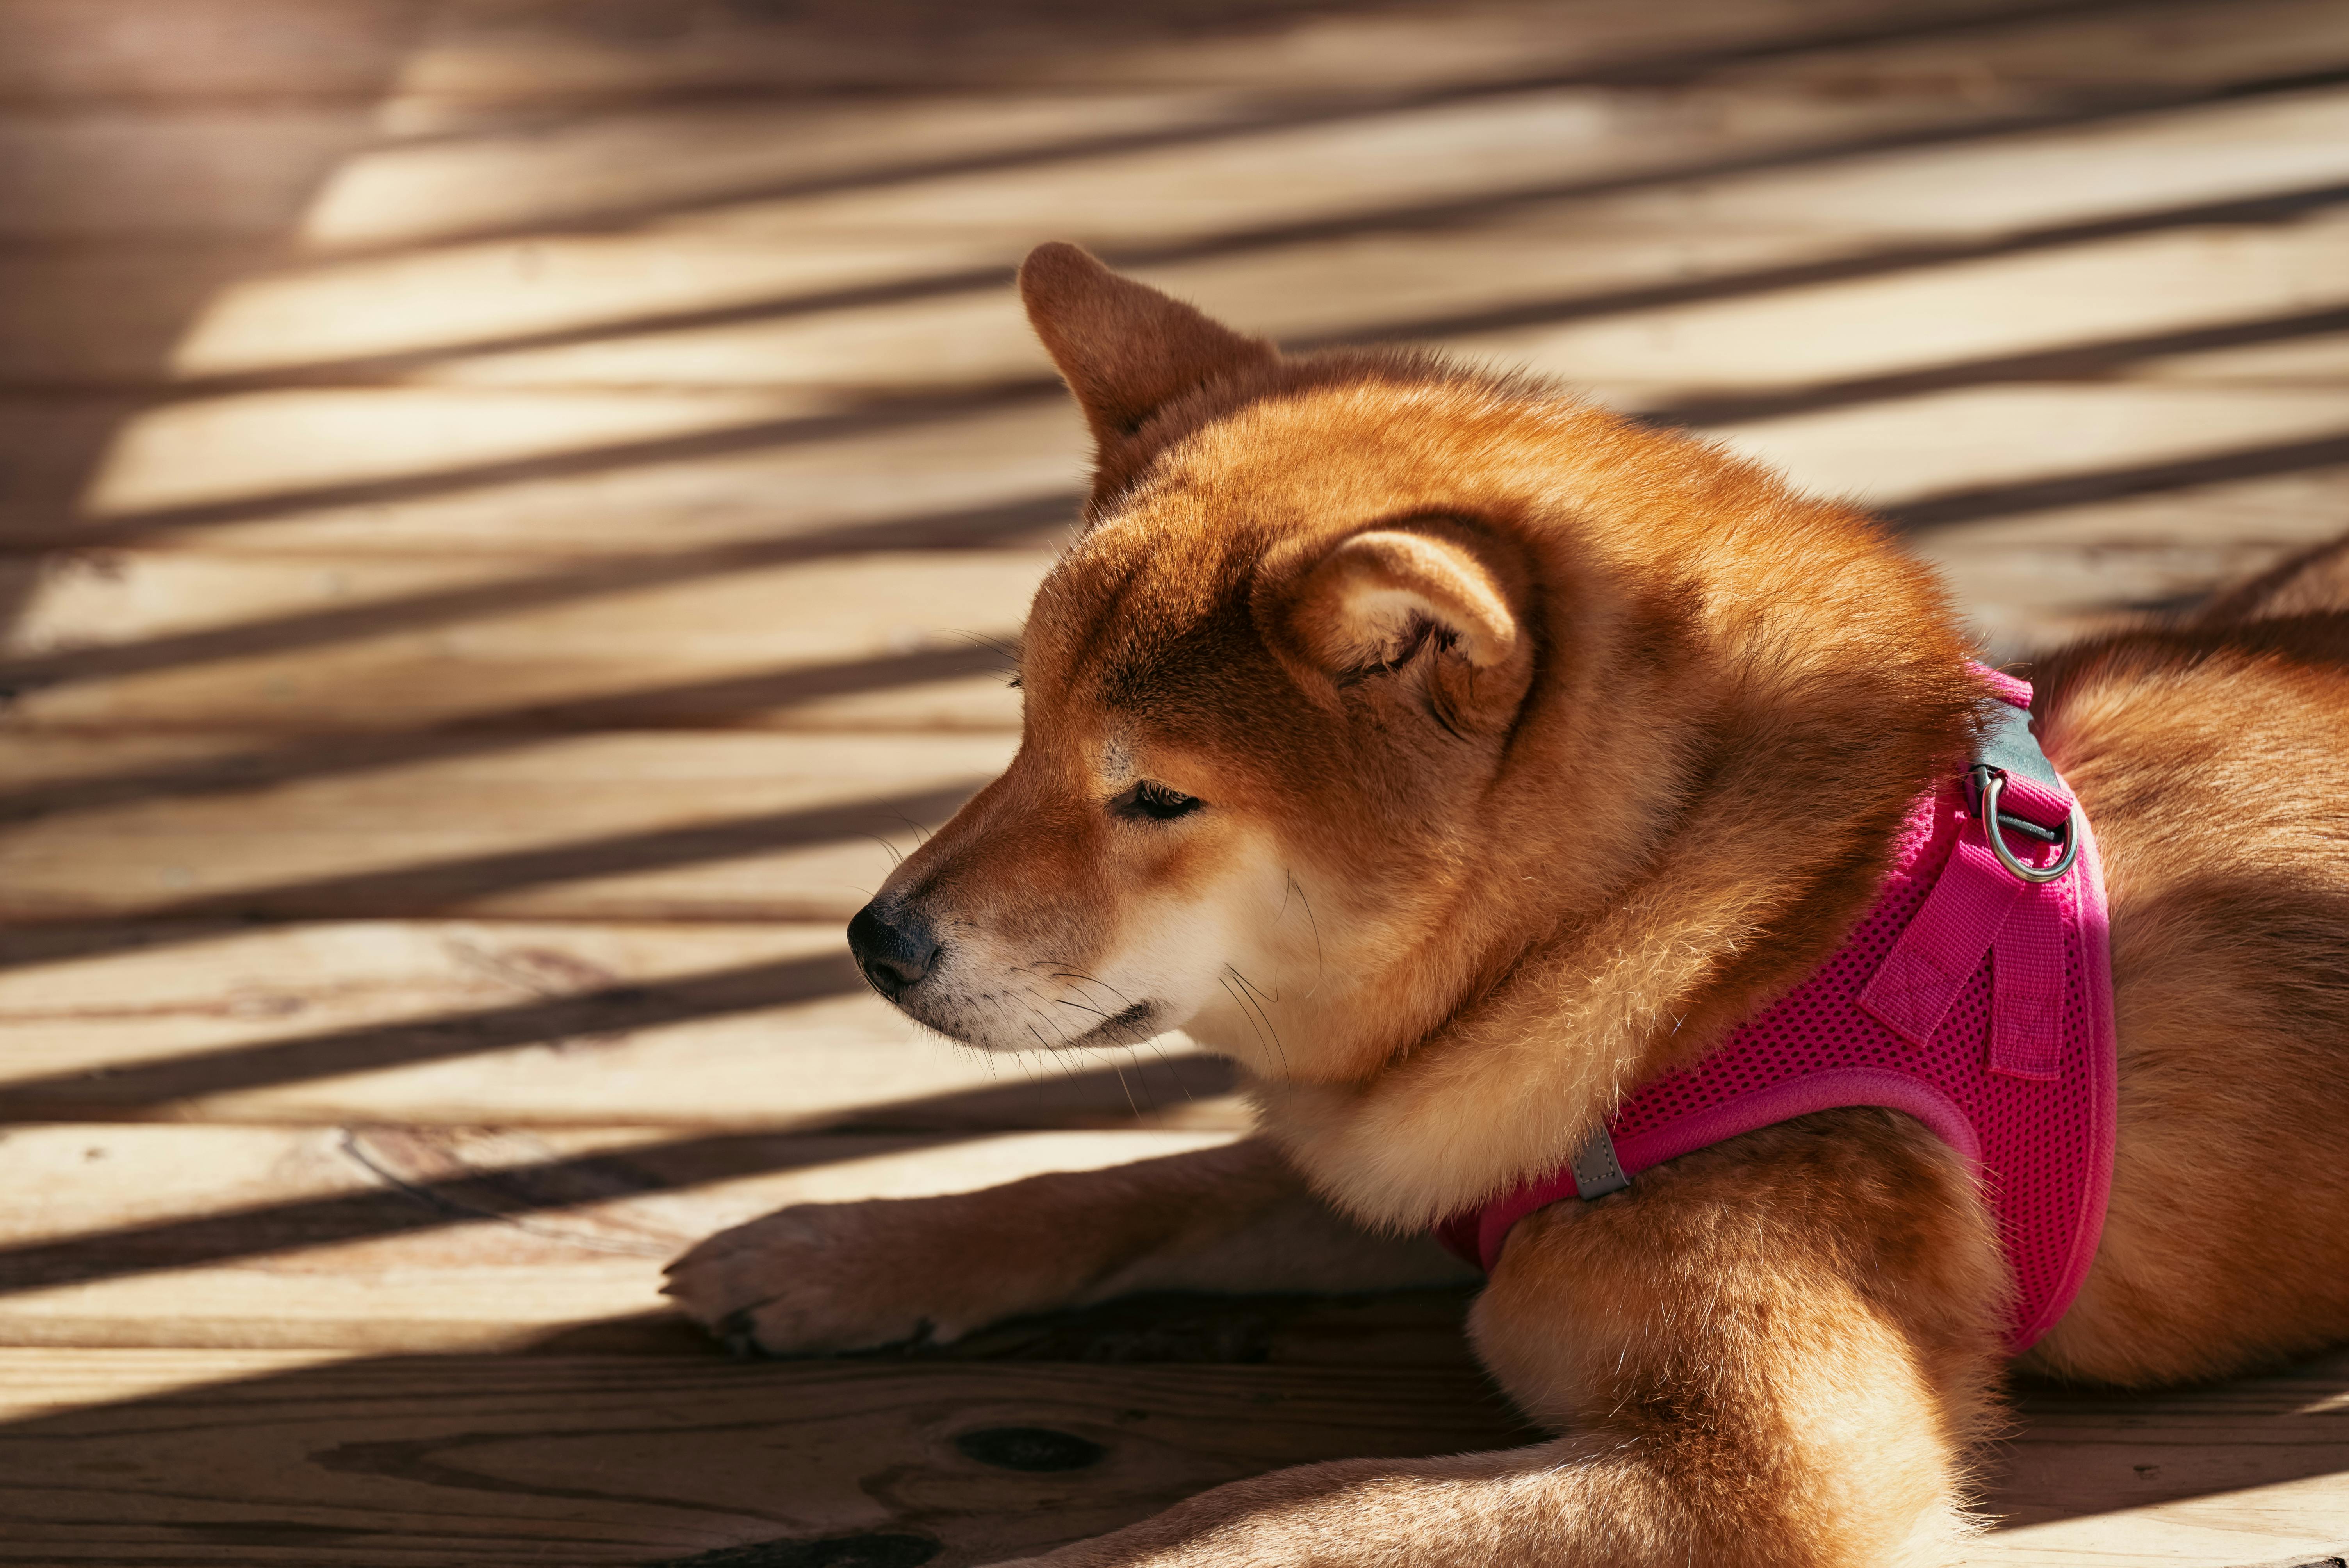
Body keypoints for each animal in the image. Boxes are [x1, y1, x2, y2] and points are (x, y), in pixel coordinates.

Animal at [662, 245, 2349, 1568]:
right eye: (1025, 724)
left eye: (1155, 798)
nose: (877, 941)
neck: (1745, 946)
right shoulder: (1432, 1154)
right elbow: (1122, 1190)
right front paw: (835, 1253)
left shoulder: (1784, 1472)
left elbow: (1280, 1509)